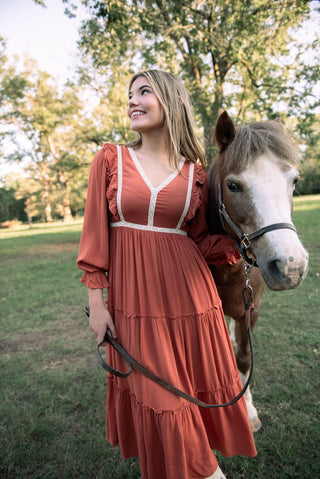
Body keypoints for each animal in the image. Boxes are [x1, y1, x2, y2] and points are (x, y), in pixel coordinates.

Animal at [206, 111, 308, 432]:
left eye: (294, 180)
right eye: (233, 185)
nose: (291, 265)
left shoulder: (251, 310)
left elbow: (243, 357)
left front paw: (249, 411)